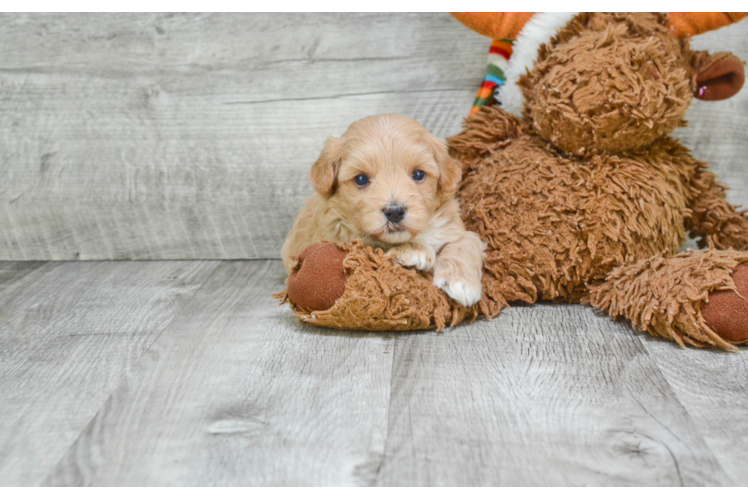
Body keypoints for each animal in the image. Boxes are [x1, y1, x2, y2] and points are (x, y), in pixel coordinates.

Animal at [280, 114, 486, 306]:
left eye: (418, 174)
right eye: (361, 179)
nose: (394, 211)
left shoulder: (453, 227)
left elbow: (468, 240)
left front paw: (461, 282)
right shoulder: (341, 235)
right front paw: (414, 252)